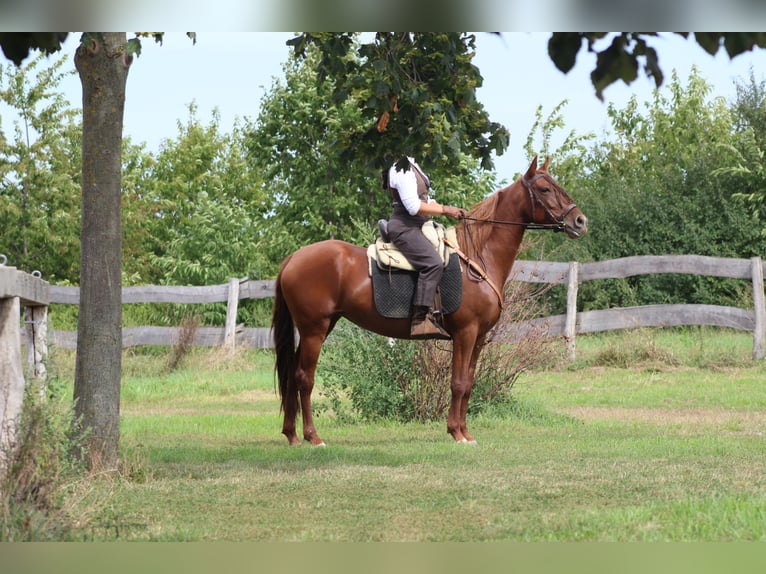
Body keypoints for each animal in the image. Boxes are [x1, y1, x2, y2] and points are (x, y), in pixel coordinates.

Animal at [272, 155, 588, 448]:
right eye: (545, 189)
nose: (580, 221)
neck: (478, 256)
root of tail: (293, 258)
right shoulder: (465, 333)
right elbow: (458, 383)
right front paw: (456, 433)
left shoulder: (479, 337)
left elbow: (468, 383)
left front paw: (465, 432)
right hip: (314, 330)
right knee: (304, 378)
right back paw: (312, 437)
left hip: (320, 328)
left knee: (293, 376)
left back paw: (292, 435)